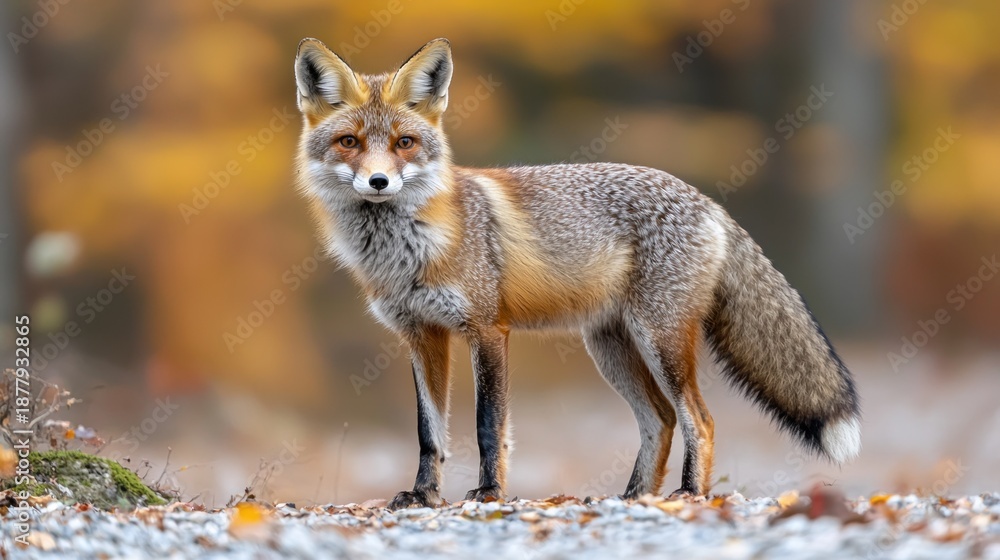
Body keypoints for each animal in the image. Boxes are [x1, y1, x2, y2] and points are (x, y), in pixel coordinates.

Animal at [292, 37, 861, 509]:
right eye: (349, 142)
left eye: (404, 143)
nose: (379, 181)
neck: (411, 248)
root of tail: (708, 202)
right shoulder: (422, 335)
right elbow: (429, 434)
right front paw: (423, 496)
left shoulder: (487, 329)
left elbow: (487, 426)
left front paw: (489, 493)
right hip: (610, 347)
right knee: (661, 419)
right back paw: (633, 497)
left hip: (659, 340)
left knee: (699, 418)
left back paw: (688, 495)